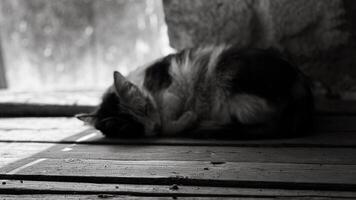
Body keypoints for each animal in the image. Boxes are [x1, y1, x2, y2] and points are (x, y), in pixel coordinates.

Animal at [76, 44, 312, 138]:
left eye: (144, 108)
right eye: (129, 128)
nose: (153, 127)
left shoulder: (172, 85)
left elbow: (169, 115)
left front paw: (186, 118)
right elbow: (167, 125)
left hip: (231, 82)